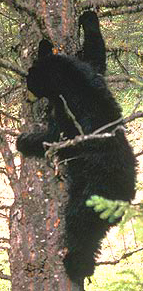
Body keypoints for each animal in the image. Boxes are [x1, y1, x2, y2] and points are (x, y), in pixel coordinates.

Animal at [16, 38, 136, 282]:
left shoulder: (73, 114)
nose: (26, 97)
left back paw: (75, 264)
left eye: (30, 81)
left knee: (80, 227)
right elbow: (95, 55)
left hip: (90, 197)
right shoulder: (93, 75)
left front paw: (23, 141)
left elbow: (56, 138)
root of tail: (125, 196)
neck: (71, 81)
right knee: (96, 235)